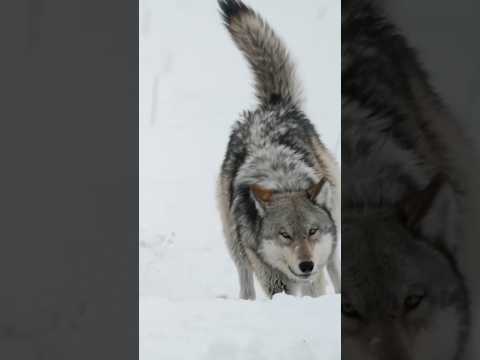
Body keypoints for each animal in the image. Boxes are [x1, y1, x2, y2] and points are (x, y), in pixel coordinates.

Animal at [218, 0, 342, 300]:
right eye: (284, 234)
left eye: (312, 231)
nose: (306, 265)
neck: (283, 182)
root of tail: (273, 106)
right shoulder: (271, 274)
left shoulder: (316, 270)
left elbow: (315, 289)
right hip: (234, 243)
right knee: (244, 278)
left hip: (334, 227)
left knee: (334, 266)